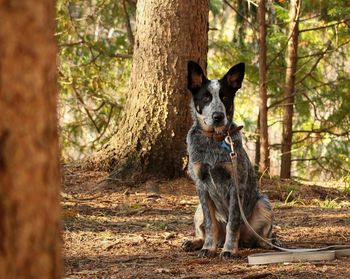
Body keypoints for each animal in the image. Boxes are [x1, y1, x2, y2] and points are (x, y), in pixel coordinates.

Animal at [182, 61, 274, 260]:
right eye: (206, 97)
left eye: (224, 96)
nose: (218, 116)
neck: (214, 140)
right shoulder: (201, 185)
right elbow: (210, 224)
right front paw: (208, 248)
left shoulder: (235, 184)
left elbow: (233, 221)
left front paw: (229, 249)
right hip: (197, 209)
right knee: (206, 230)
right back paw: (195, 242)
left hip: (264, 203)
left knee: (260, 237)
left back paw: (269, 242)